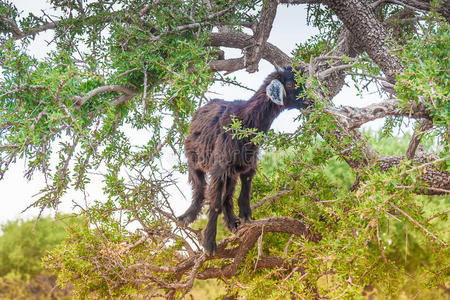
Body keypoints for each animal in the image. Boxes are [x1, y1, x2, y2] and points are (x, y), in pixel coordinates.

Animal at [178, 66, 310, 253]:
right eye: (291, 84)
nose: (310, 100)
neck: (247, 120)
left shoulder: (248, 162)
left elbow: (244, 189)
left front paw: (245, 215)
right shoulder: (220, 166)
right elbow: (215, 202)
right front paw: (209, 244)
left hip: (231, 171)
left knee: (228, 194)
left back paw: (232, 222)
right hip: (194, 159)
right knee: (199, 187)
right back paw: (186, 217)